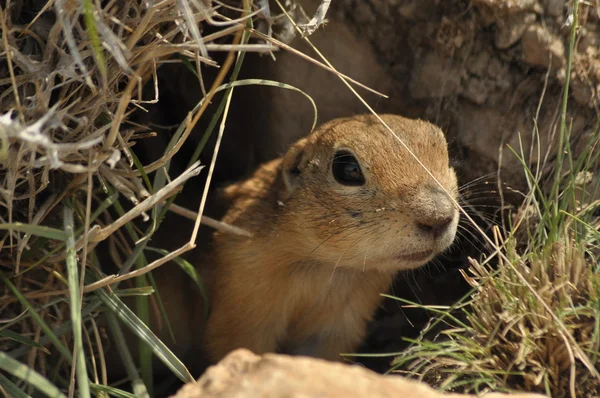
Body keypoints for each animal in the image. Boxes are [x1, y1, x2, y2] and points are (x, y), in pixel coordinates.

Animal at [202, 112, 460, 364]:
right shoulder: (243, 297)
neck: (323, 264)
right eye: (347, 169)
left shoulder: (340, 323)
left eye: (444, 149)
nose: (439, 217)